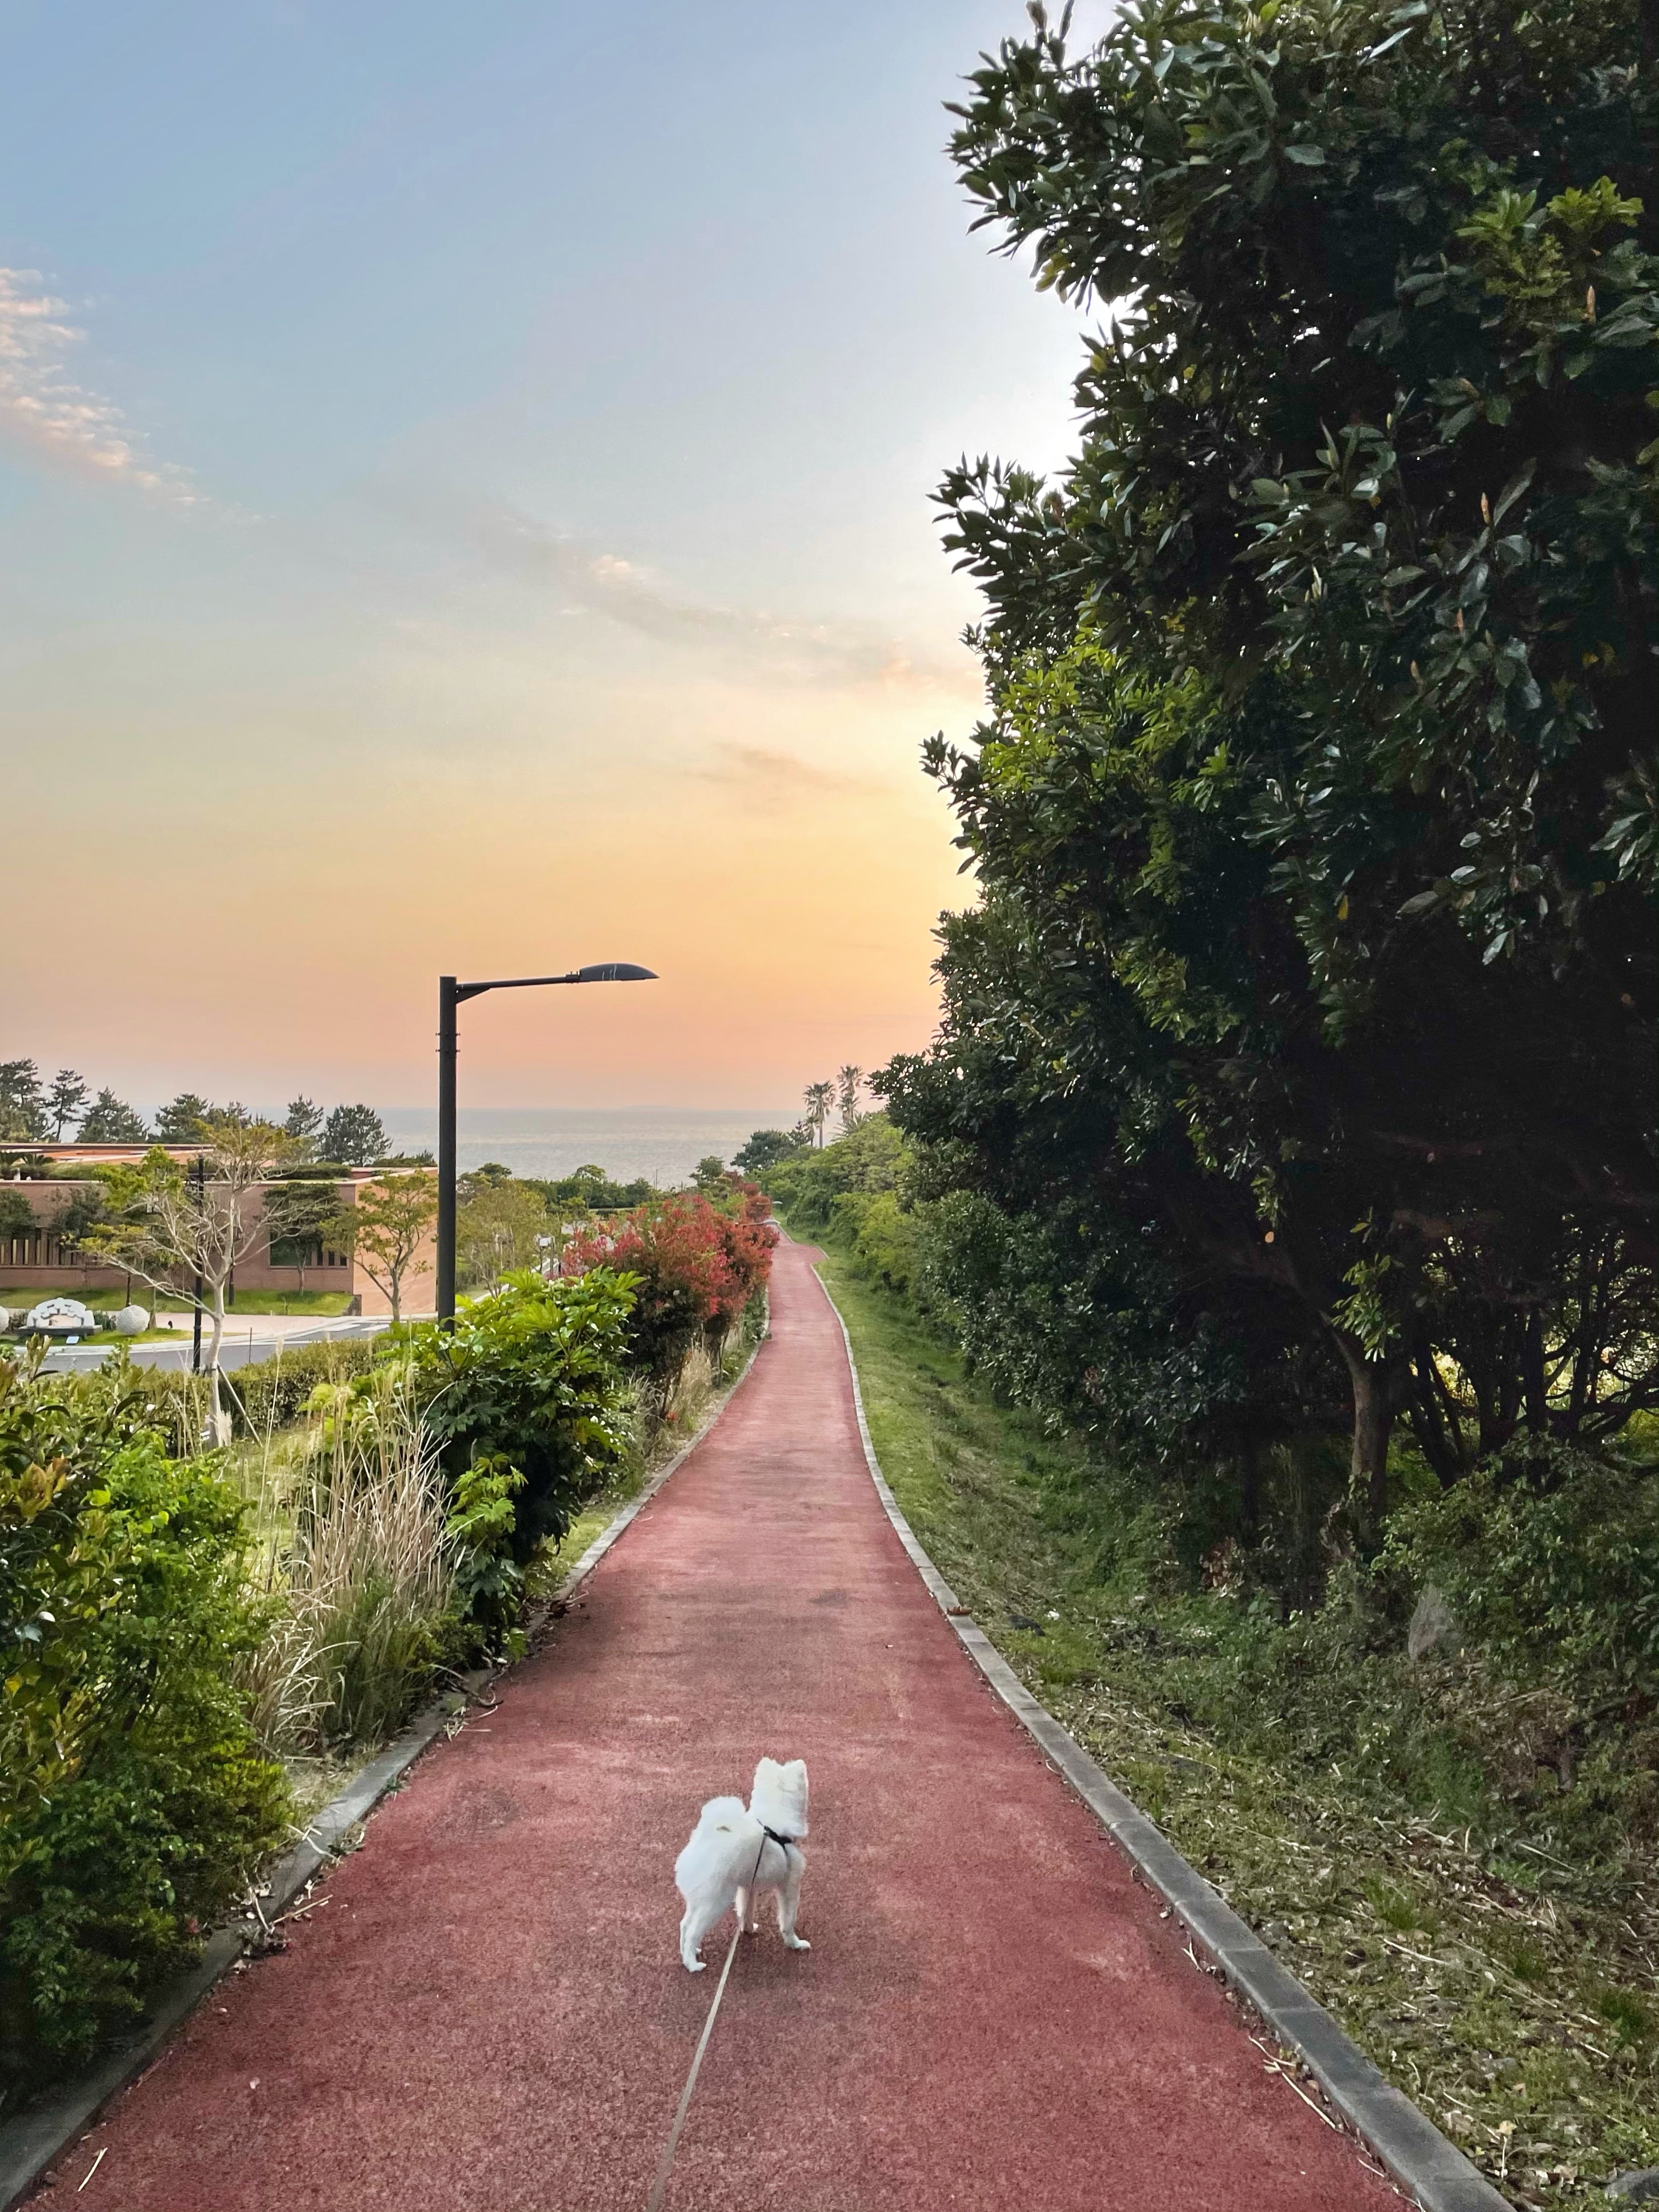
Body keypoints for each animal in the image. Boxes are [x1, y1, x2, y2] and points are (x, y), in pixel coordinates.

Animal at [672, 1752, 809, 1982]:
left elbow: (747, 1911)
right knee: (692, 1931)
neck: (774, 1827)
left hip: (699, 1900)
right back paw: (693, 1964)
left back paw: (690, 1953)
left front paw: (748, 1930)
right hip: (715, 1902)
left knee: (684, 1925)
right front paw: (795, 1944)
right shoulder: (789, 1885)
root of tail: (703, 1840)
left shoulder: (748, 1886)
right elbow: (788, 1920)